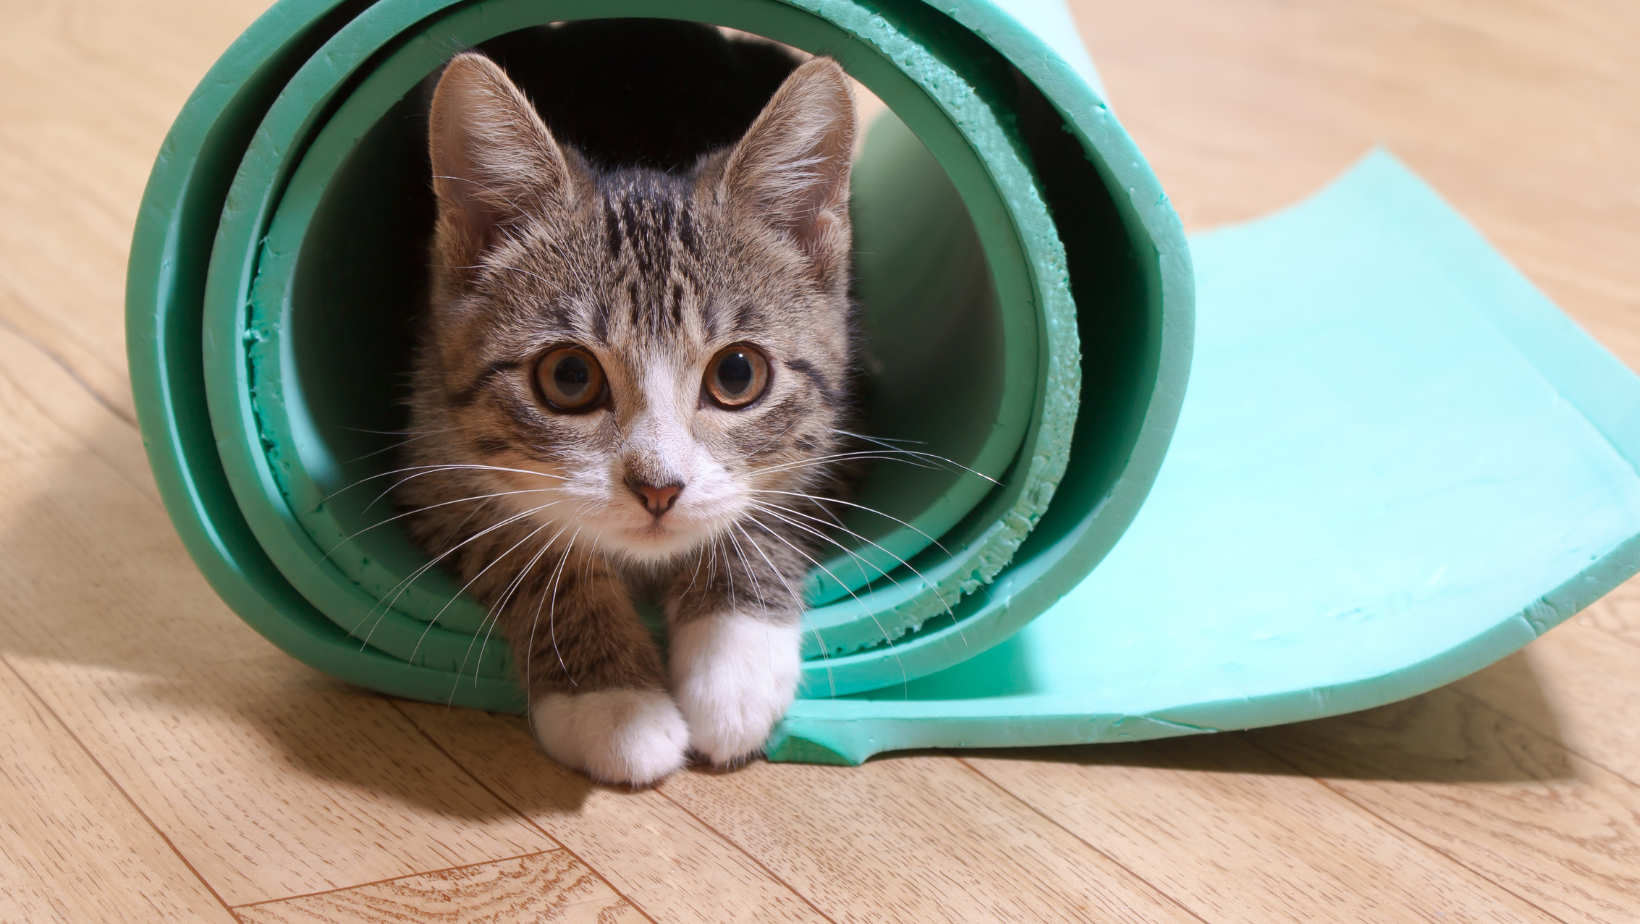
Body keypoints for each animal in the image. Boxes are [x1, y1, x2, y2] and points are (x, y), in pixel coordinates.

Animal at [398, 39, 859, 784]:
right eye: (569, 376)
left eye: (738, 374)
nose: (659, 488)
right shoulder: (429, 449)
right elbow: (521, 545)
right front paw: (611, 700)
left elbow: (773, 508)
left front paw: (733, 662)